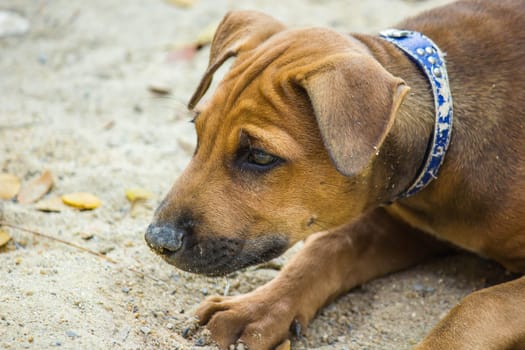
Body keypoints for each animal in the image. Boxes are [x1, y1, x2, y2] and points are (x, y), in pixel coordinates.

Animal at [144, 0, 524, 348]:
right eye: (197, 133)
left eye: (260, 156)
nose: (156, 240)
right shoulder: (404, 223)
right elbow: (327, 247)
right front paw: (251, 309)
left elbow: (478, 304)